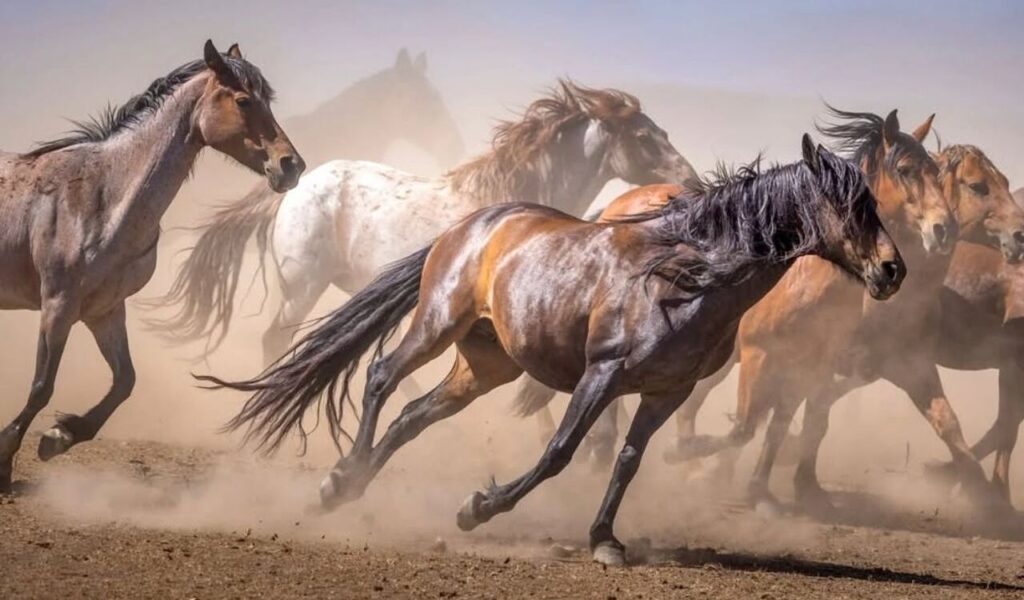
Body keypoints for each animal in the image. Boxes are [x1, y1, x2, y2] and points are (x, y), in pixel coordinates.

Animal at [0, 41, 304, 492]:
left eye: (268, 99)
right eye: (244, 100)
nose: (291, 166)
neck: (104, 197)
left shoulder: (105, 311)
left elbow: (125, 381)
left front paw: (60, 437)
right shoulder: (58, 305)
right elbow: (41, 386)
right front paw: (5, 460)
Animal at [204, 135, 905, 566]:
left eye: (872, 203)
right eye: (847, 204)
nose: (893, 271)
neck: (687, 275)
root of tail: (469, 225)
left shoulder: (666, 392)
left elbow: (626, 462)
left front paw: (604, 540)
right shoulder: (603, 374)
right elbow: (560, 451)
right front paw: (478, 508)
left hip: (485, 364)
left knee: (413, 416)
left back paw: (348, 489)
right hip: (437, 322)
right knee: (380, 376)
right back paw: (339, 479)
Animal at [669, 128, 1024, 515]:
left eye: (1005, 181)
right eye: (977, 185)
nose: (1019, 235)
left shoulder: (900, 366)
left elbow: (948, 423)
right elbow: (799, 419)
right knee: (694, 403)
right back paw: (692, 468)